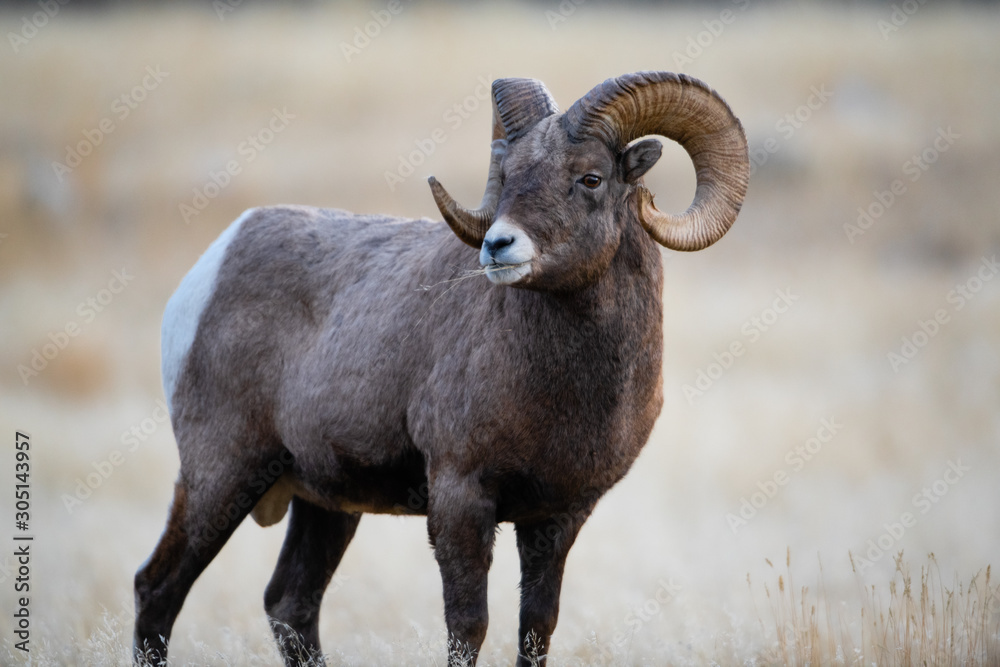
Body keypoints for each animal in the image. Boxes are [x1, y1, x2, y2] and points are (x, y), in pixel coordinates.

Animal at [133, 70, 748, 664]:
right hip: (222, 475)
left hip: (323, 505)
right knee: (157, 590)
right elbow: (468, 626)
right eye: (508, 174)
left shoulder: (558, 518)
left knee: (291, 604)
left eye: (591, 178)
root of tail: (212, 265)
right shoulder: (460, 499)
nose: (498, 246)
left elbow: (536, 628)